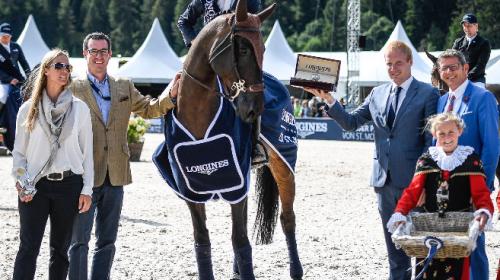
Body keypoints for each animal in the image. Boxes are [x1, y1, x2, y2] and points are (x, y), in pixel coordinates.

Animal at [151, 0, 300, 280]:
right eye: (242, 48)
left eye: (264, 48)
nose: (255, 109)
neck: (198, 113)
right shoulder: (192, 190)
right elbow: (202, 240)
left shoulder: (236, 182)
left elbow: (240, 240)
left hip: (284, 167)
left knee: (288, 219)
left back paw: (296, 271)